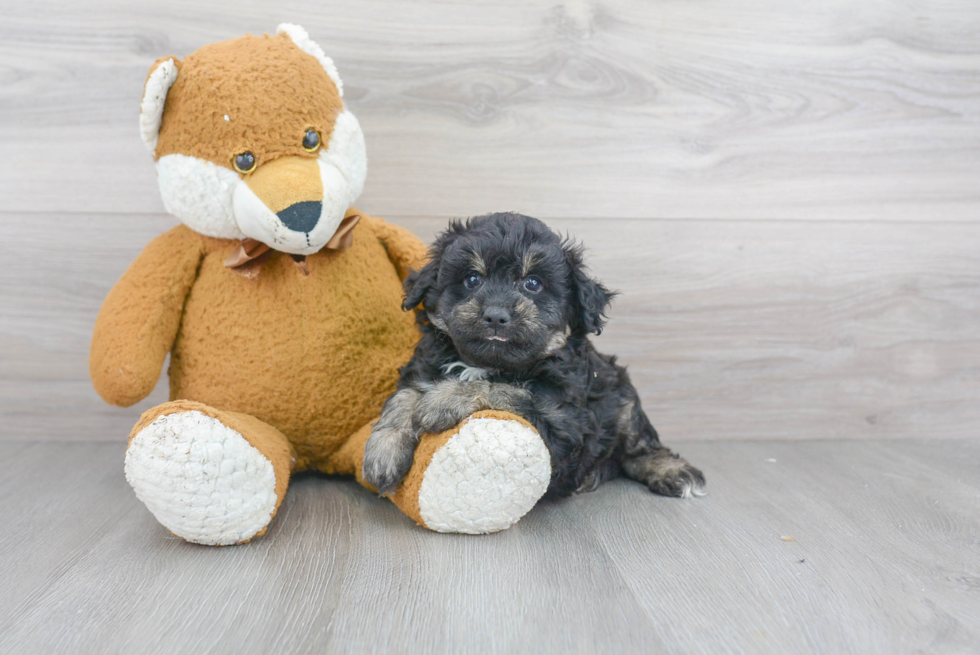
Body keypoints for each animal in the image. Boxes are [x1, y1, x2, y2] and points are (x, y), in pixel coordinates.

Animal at [360, 213, 704, 500]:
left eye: (533, 283)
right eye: (472, 279)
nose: (496, 316)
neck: (486, 362)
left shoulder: (564, 424)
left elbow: (508, 390)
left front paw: (443, 400)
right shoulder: (422, 365)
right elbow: (405, 394)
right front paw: (383, 450)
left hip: (623, 398)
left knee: (637, 446)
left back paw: (673, 471)